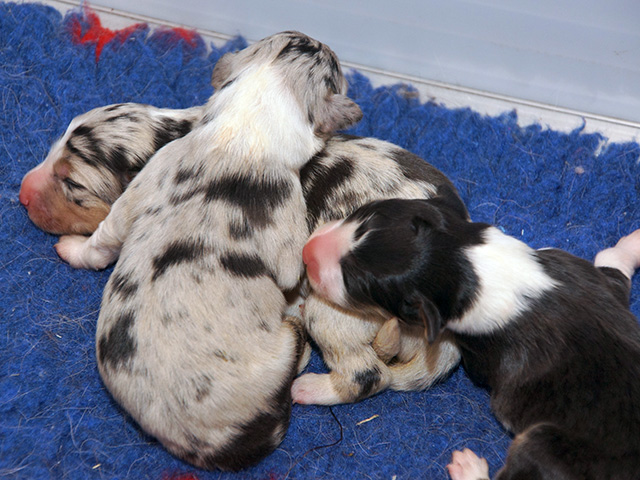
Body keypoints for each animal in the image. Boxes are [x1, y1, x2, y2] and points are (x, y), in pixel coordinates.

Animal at [55, 31, 362, 470]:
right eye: (335, 71)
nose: (322, 40)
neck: (241, 132)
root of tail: (207, 446)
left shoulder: (144, 182)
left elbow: (105, 235)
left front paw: (73, 247)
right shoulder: (289, 237)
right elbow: (293, 269)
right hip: (283, 345)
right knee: (296, 349)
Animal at [301, 197, 640, 479]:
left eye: (356, 282)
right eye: (364, 217)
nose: (306, 253)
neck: (466, 266)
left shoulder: (482, 356)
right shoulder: (587, 277)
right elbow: (611, 264)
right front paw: (633, 243)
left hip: (547, 447)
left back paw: (469, 468)